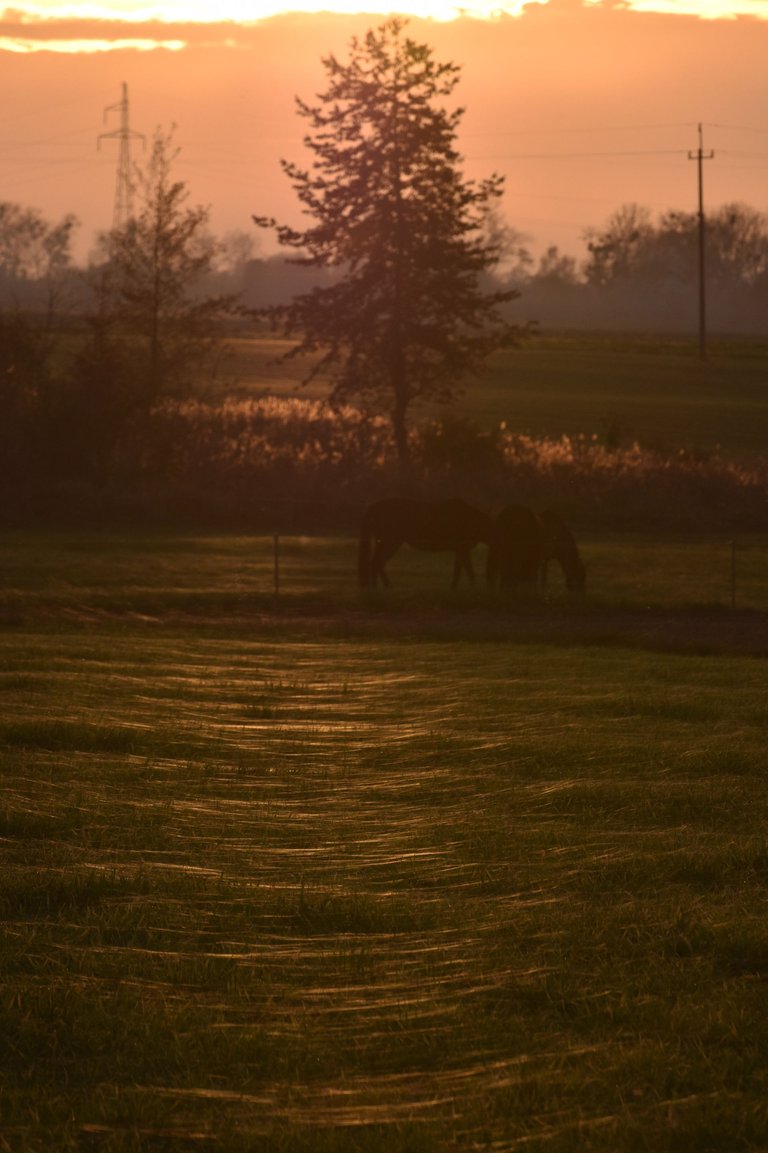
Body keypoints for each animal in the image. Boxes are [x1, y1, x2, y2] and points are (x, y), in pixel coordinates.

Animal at [357, 495, 493, 590]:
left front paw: (453, 588)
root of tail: (374, 507)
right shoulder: (462, 548)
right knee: (376, 563)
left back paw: (384, 587)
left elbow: (459, 568)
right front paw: (473, 588)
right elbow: (468, 568)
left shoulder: (460, 549)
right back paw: (377, 589)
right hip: (390, 543)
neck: (472, 519)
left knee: (377, 563)